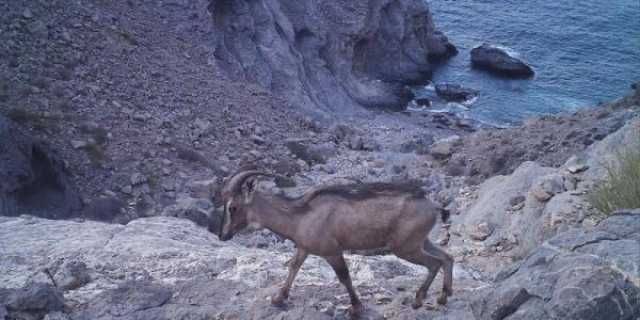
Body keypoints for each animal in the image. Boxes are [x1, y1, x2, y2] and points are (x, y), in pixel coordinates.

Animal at [212, 169, 452, 316]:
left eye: (233, 207)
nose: (222, 235)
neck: (298, 215)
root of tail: (433, 206)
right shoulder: (304, 247)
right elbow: (293, 267)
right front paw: (279, 298)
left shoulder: (332, 251)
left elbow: (344, 276)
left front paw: (356, 307)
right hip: (420, 241)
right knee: (447, 257)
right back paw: (443, 296)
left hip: (405, 247)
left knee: (434, 263)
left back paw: (419, 300)